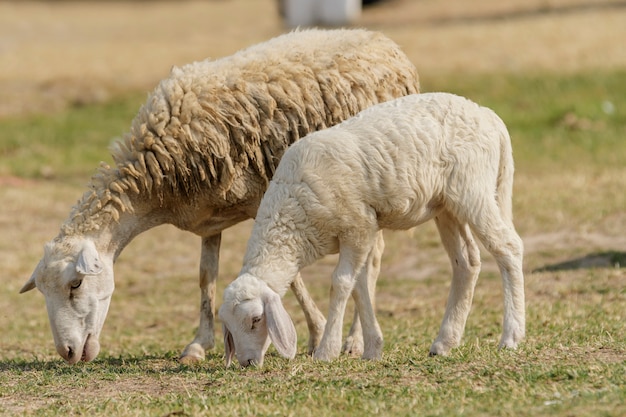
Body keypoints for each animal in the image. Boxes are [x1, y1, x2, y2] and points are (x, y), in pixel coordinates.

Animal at [18, 27, 420, 362]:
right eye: (43, 292)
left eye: (75, 283)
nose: (68, 353)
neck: (156, 178)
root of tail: (388, 45)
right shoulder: (208, 217)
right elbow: (205, 277)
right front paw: (198, 344)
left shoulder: (263, 200)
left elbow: (291, 278)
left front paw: (317, 332)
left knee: (372, 260)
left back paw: (354, 340)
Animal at [218, 92, 520, 366]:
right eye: (229, 328)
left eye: (257, 319)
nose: (247, 363)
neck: (293, 217)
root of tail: (490, 117)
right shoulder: (362, 235)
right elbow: (359, 285)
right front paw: (372, 348)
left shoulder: (358, 226)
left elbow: (341, 283)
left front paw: (327, 350)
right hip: (446, 205)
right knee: (467, 261)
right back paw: (444, 342)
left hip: (473, 190)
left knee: (509, 247)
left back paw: (511, 337)